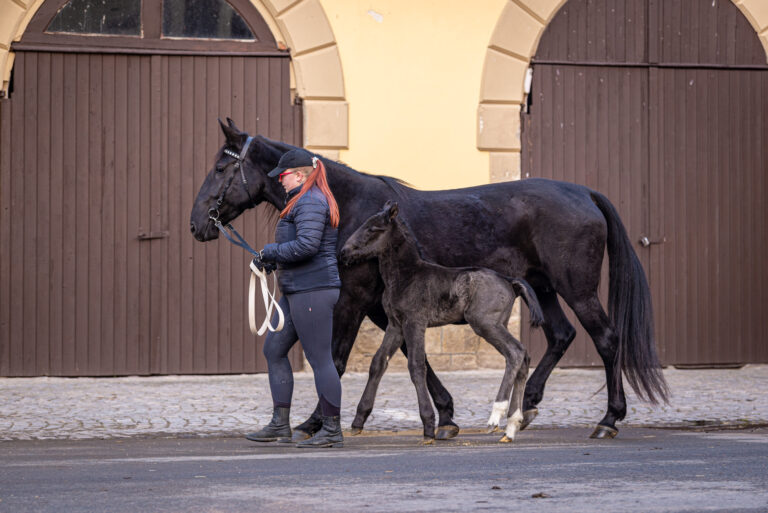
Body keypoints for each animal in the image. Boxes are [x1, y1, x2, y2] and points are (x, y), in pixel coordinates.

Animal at [340, 202, 544, 442]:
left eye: (373, 229)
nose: (344, 251)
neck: (406, 277)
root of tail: (509, 280)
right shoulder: (395, 325)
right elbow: (378, 362)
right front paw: (358, 421)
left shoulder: (415, 323)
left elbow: (416, 365)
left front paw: (429, 426)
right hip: (497, 323)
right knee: (523, 358)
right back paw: (511, 426)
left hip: (485, 323)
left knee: (515, 353)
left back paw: (496, 415)